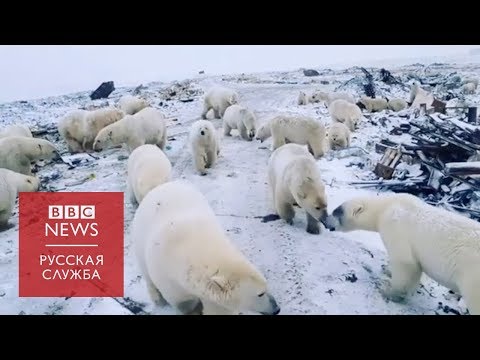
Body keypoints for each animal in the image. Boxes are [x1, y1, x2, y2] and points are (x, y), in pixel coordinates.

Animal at [131, 180, 282, 316]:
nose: (277, 309)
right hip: (140, 237)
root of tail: (161, 186)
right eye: (260, 294)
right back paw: (157, 298)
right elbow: (183, 302)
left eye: (266, 286)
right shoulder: (168, 276)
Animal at [326, 191, 480, 316]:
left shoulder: (395, 226)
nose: (325, 221)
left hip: (472, 278)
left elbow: (405, 263)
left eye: (335, 212)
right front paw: (387, 270)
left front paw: (386, 290)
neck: (386, 207)